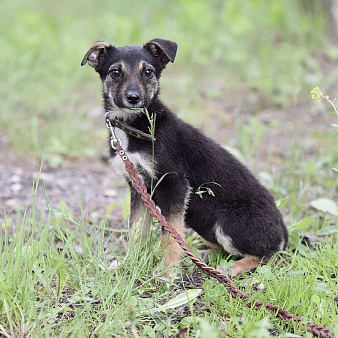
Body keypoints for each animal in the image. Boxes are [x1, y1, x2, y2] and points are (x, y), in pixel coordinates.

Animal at [82, 39, 288, 278]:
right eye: (115, 73)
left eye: (148, 72)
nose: (134, 98)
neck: (135, 125)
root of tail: (283, 230)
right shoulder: (139, 188)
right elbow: (136, 230)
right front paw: (130, 264)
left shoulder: (174, 184)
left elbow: (170, 234)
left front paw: (166, 270)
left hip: (228, 224)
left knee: (269, 256)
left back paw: (232, 267)